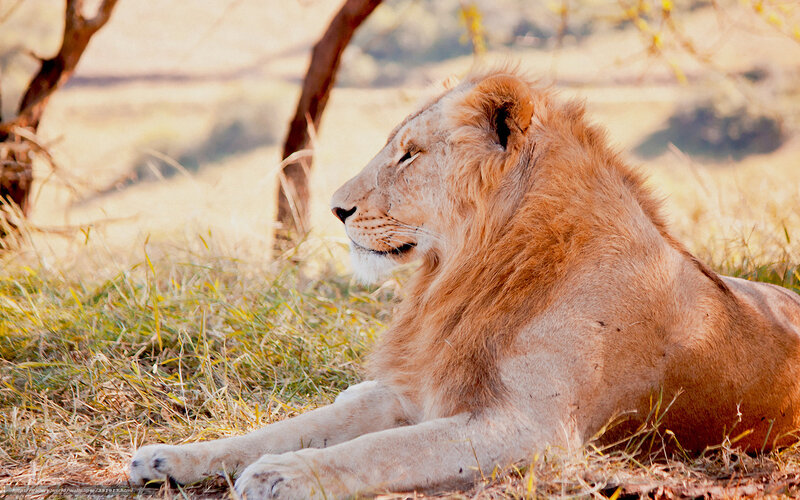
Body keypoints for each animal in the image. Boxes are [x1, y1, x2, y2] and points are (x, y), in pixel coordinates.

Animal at [130, 67, 800, 499]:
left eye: (409, 154)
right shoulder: (415, 396)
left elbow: (377, 450)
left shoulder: (534, 431)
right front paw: (172, 459)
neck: (465, 274)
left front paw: (282, 475)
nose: (336, 209)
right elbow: (289, 429)